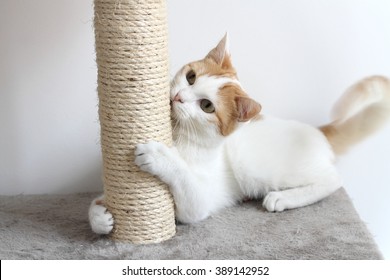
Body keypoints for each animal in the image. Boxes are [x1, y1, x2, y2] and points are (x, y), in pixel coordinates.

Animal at [90, 32, 390, 234]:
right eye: (191, 77)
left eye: (207, 106)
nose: (177, 97)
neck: (179, 135)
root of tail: (317, 130)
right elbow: (95, 205)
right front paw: (100, 216)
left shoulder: (199, 203)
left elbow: (184, 179)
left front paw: (160, 156)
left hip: (265, 170)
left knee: (333, 179)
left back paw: (282, 198)